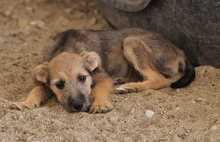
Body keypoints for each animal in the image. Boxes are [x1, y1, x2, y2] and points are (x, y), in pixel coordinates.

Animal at [12, 28, 195, 113]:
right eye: (59, 85)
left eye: (83, 78)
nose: (78, 106)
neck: (65, 47)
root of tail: (179, 51)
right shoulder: (44, 82)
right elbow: (36, 89)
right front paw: (25, 103)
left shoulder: (101, 76)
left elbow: (100, 88)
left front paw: (100, 104)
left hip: (131, 41)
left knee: (161, 79)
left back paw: (131, 87)